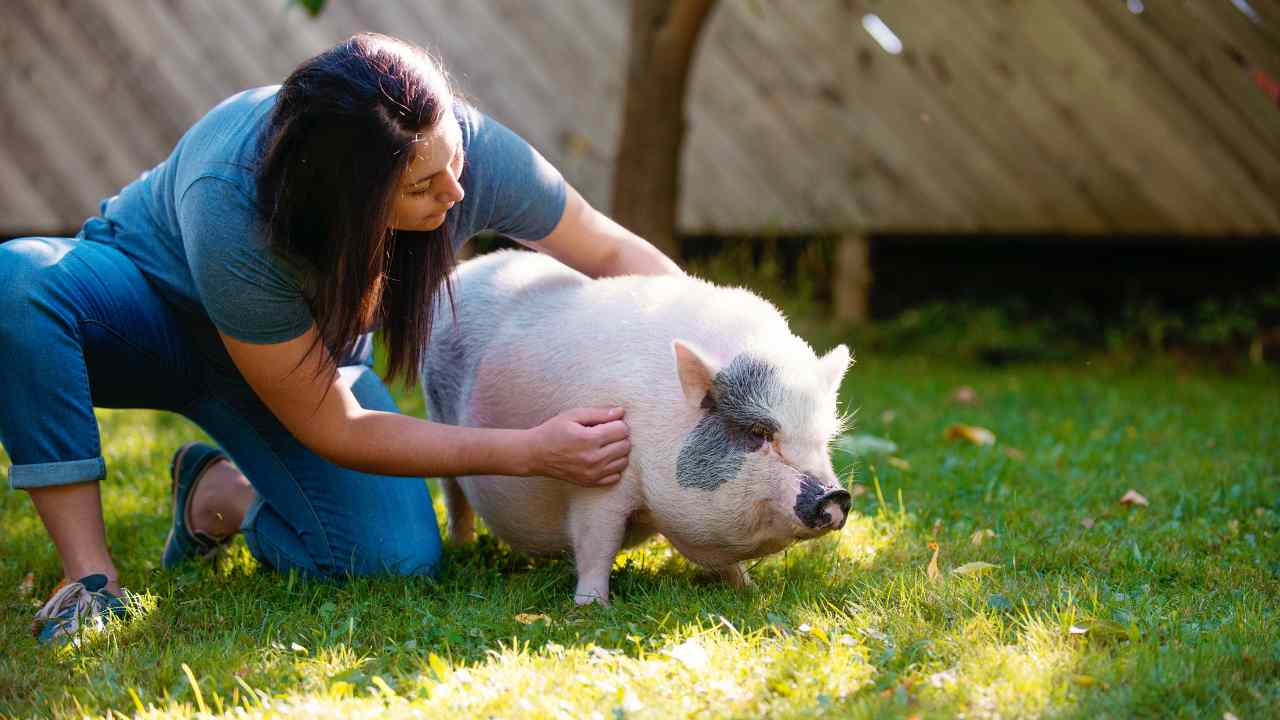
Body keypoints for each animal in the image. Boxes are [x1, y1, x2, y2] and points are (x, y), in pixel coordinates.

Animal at [424, 249, 855, 602]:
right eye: (760, 434)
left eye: (822, 440)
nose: (836, 496)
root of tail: (467, 268)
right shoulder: (597, 481)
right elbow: (597, 542)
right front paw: (591, 607)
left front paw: (749, 591)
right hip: (435, 405)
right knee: (454, 493)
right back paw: (461, 549)